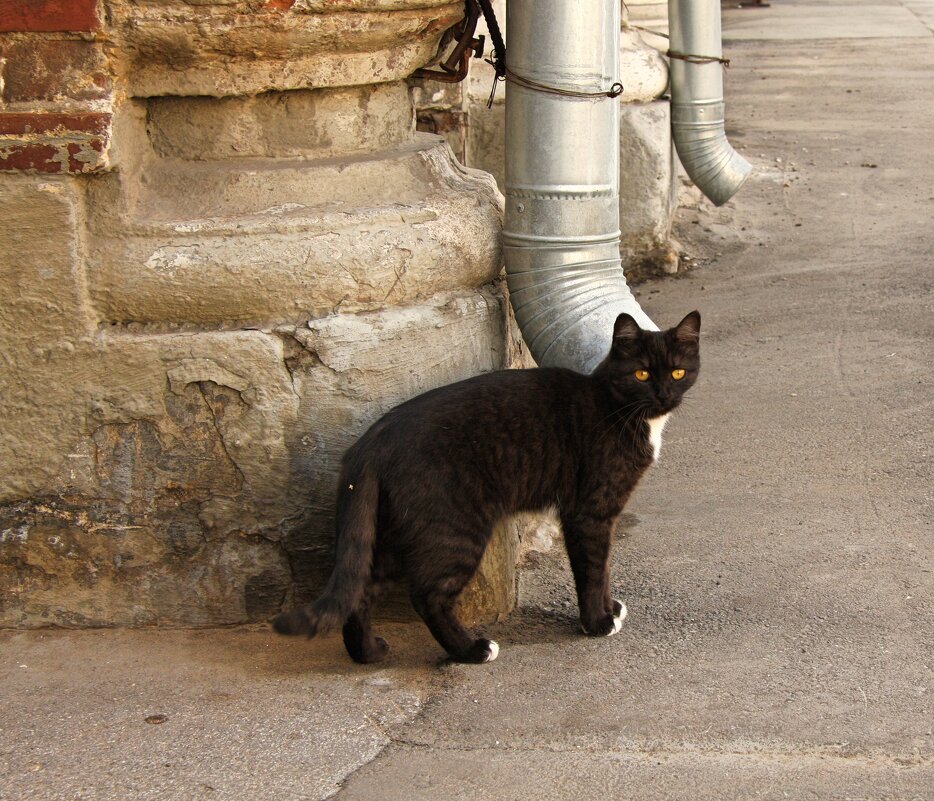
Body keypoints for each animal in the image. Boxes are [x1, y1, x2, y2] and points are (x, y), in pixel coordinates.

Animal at [274, 310, 700, 664]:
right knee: (427, 596)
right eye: (642, 374)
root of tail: (372, 441)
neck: (620, 409)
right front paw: (597, 622)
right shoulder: (589, 513)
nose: (664, 394)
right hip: (455, 530)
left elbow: (605, 566)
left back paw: (366, 653)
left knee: (362, 587)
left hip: (398, 531)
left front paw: (609, 609)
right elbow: (593, 569)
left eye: (678, 373)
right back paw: (471, 650)